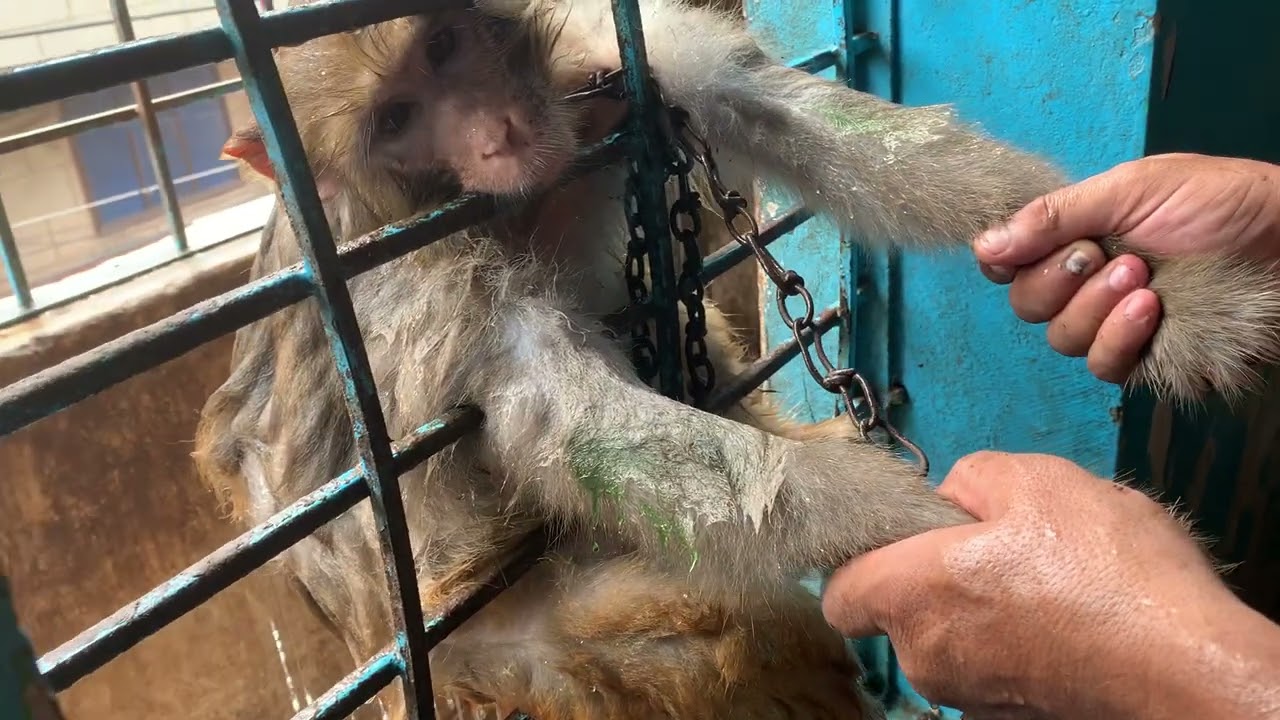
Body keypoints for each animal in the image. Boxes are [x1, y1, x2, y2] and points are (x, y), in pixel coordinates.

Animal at [193, 0, 1280, 718]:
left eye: (447, 43)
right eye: (394, 119)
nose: (495, 131)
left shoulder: (606, 63)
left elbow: (784, 115)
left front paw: (1184, 297)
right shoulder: (410, 281)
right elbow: (567, 425)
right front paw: (975, 554)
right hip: (518, 658)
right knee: (713, 623)